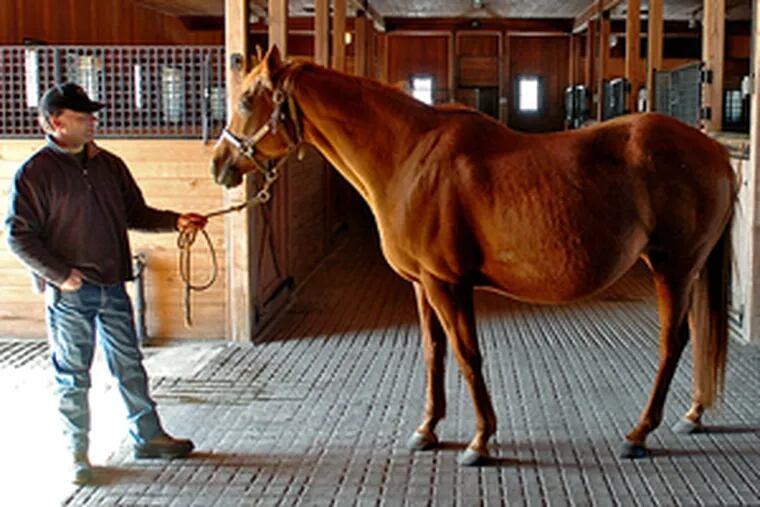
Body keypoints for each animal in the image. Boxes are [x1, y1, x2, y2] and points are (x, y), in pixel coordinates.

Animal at [210, 46, 736, 466]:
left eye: (246, 100)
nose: (219, 164)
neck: (410, 158)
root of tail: (715, 152)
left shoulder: (447, 283)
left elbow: (466, 354)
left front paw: (479, 441)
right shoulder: (423, 285)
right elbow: (434, 353)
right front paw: (427, 430)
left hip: (674, 267)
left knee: (673, 341)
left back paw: (639, 434)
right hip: (687, 269)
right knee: (695, 335)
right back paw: (692, 414)